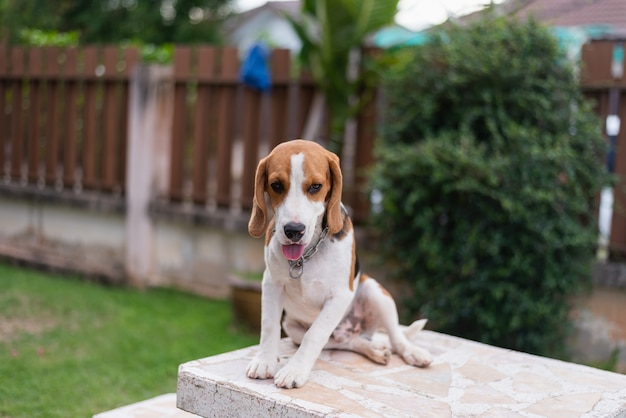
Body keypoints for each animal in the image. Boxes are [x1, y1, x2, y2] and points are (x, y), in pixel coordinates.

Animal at [246, 140, 432, 388]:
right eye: (276, 185)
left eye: (315, 187)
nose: (293, 230)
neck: (307, 254)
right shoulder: (271, 284)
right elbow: (268, 326)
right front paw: (265, 361)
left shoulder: (340, 295)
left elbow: (314, 335)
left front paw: (295, 370)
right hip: (293, 327)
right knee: (345, 341)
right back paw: (373, 348)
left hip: (375, 291)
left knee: (395, 335)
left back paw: (411, 352)